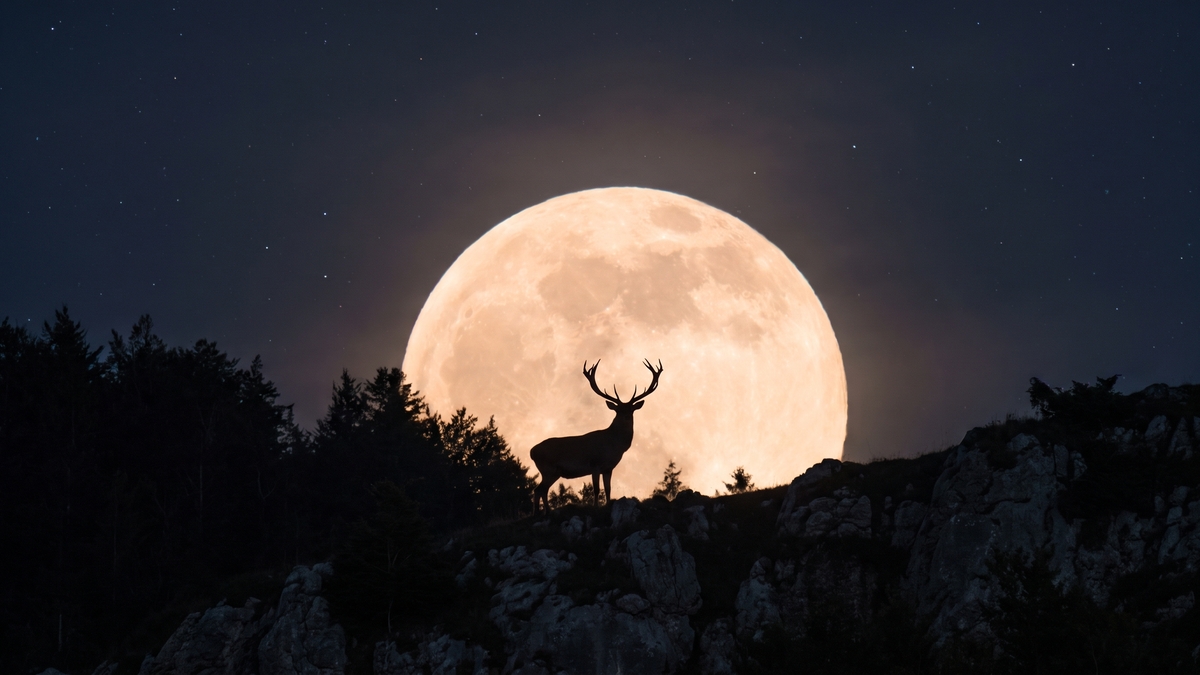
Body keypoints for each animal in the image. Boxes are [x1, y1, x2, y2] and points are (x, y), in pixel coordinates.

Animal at [530, 358, 664, 516]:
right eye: (618, 410)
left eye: (631, 409)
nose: (625, 416)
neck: (613, 446)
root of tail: (532, 451)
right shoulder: (595, 464)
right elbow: (596, 489)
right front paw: (595, 508)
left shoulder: (609, 468)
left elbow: (608, 489)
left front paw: (607, 505)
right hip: (548, 469)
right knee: (538, 490)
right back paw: (540, 513)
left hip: (554, 472)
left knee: (542, 490)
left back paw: (546, 512)